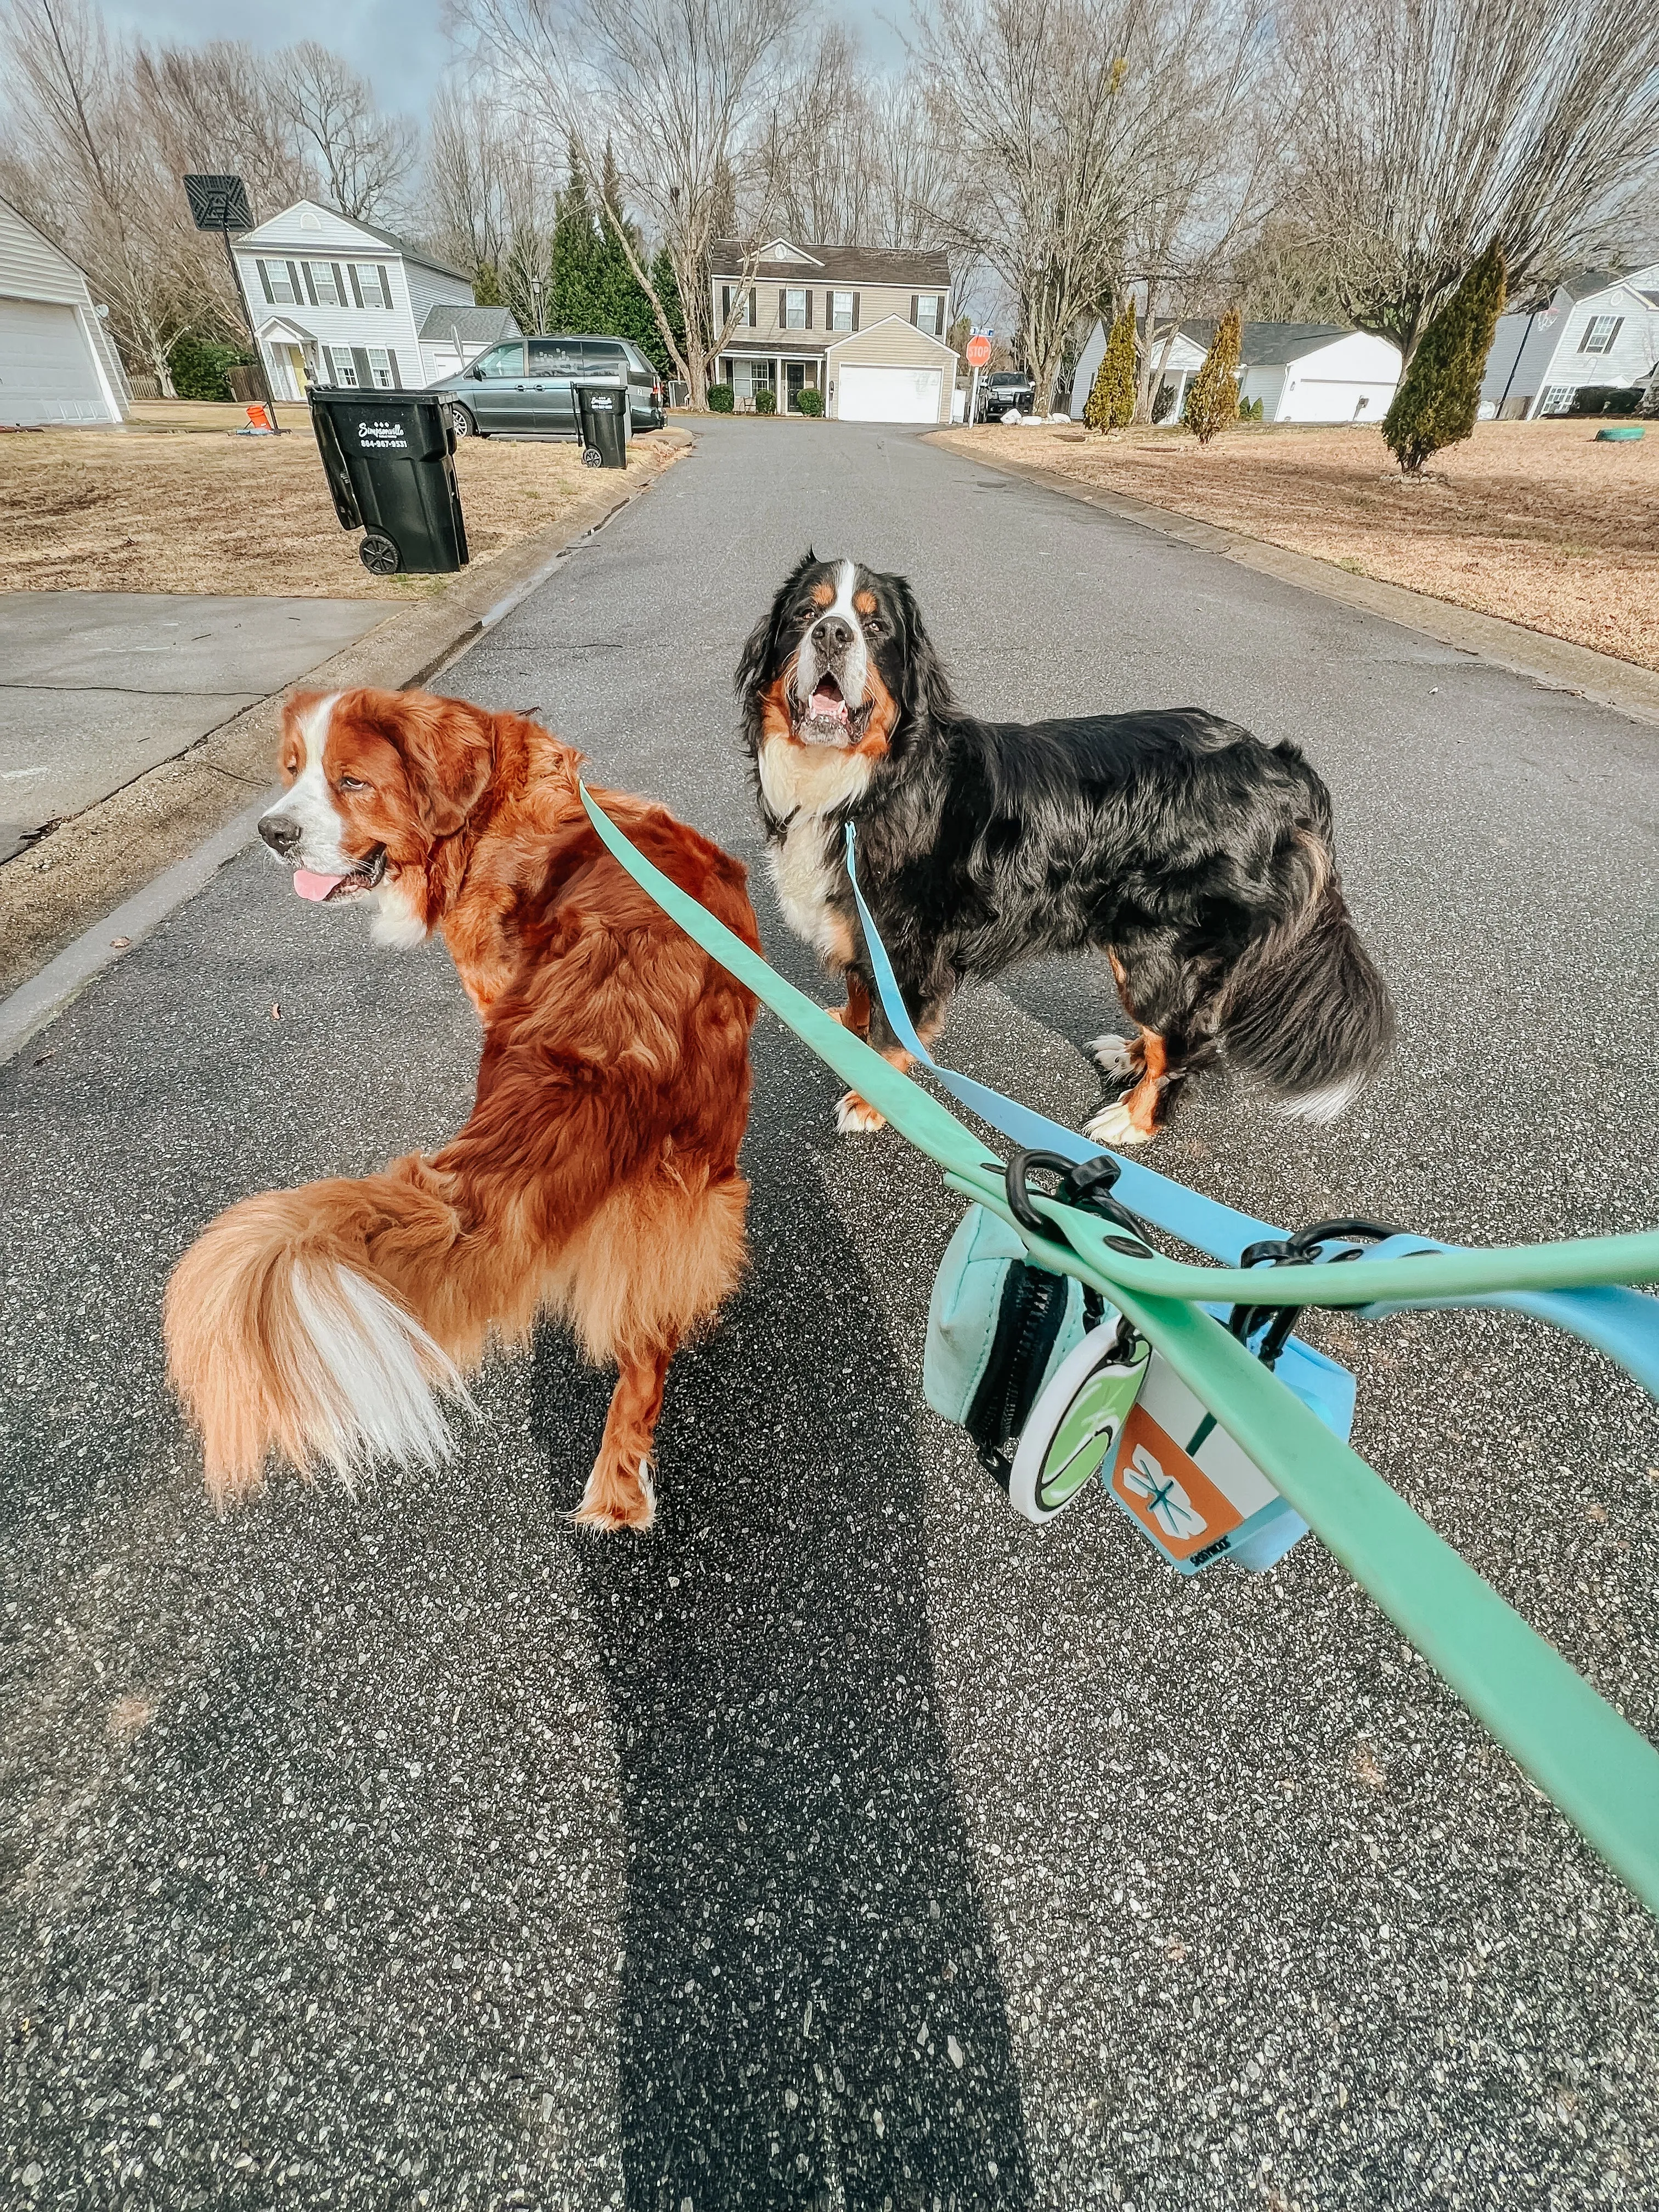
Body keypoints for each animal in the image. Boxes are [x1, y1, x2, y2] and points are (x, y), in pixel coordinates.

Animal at [166, 681, 765, 1531]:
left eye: (352, 782)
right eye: (290, 768)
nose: (272, 833)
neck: (494, 806)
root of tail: (617, 1032)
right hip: (694, 1173)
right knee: (649, 1340)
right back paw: (620, 1489)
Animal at [734, 548, 1398, 1141]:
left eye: (876, 628)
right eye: (805, 613)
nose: (833, 633)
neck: (858, 783)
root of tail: (1284, 767)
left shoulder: (908, 947)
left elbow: (891, 1033)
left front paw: (872, 1097)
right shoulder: (857, 921)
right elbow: (857, 988)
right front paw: (843, 1029)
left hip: (1160, 946)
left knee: (1186, 1041)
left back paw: (1135, 1118)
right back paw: (1128, 1056)